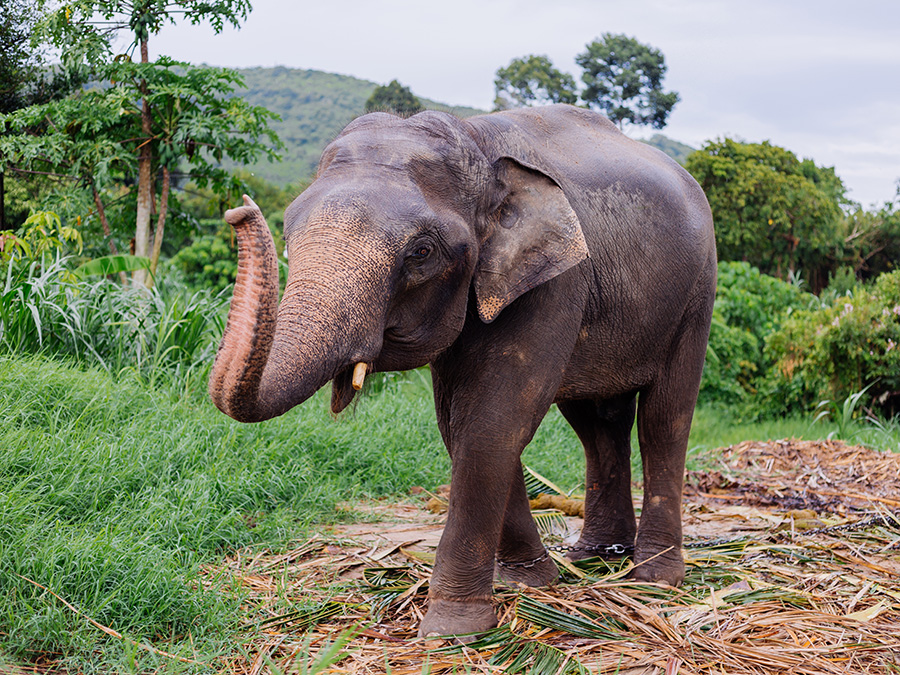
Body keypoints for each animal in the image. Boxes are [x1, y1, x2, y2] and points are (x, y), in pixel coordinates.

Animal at [209, 103, 716, 640]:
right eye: (287, 233)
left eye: (421, 252)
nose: (238, 211)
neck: (476, 140)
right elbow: (460, 424)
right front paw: (529, 583)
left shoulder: (557, 281)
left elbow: (492, 422)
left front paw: (453, 629)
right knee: (597, 423)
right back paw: (596, 556)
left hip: (697, 294)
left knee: (664, 419)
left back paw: (654, 579)